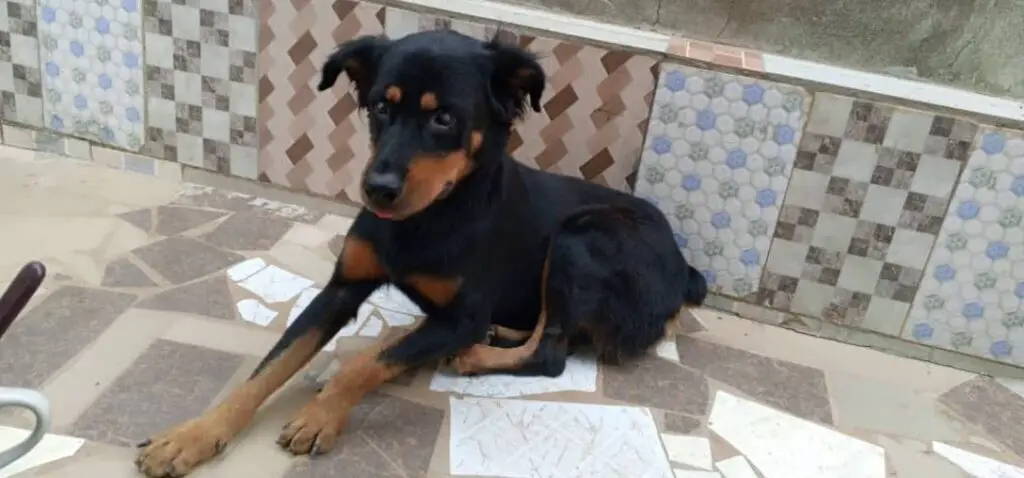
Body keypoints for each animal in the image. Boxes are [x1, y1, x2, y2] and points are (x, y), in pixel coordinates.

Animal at [132, 29, 708, 474]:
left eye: (444, 119)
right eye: (379, 107)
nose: (377, 189)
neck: (426, 218)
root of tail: (685, 272)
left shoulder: (463, 315)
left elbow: (364, 365)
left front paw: (320, 416)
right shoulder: (341, 289)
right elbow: (267, 370)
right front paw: (192, 437)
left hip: (580, 236)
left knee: (550, 354)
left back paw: (474, 353)